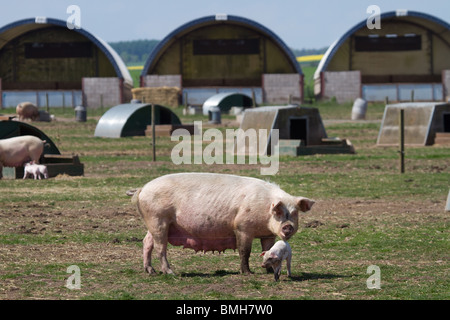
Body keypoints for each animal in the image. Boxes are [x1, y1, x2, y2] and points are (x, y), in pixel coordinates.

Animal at [126, 172, 314, 276]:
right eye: (278, 213)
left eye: (295, 213)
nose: (287, 226)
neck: (265, 209)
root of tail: (142, 189)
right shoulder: (242, 227)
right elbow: (244, 251)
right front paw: (247, 273)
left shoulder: (267, 234)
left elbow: (267, 249)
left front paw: (268, 270)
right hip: (158, 219)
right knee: (160, 247)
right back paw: (170, 273)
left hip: (154, 224)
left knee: (146, 242)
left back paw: (150, 271)